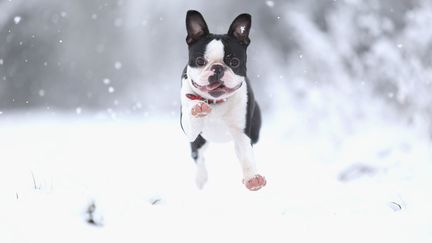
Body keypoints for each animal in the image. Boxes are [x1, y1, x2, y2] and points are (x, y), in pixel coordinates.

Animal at [180, 10, 266, 191]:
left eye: (234, 62)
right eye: (200, 61)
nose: (218, 68)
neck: (215, 102)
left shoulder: (242, 132)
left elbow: (247, 155)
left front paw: (252, 178)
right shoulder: (190, 131)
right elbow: (192, 115)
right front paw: (197, 107)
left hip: (253, 133)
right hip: (199, 141)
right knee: (198, 156)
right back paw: (201, 178)